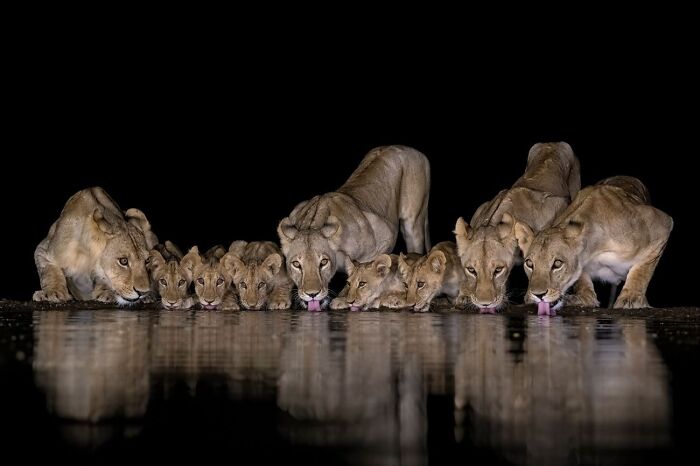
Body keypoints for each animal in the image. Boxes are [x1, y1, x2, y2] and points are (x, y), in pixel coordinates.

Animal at [278, 145, 431, 311]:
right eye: (296, 264)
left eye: (323, 262)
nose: (312, 294)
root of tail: (411, 149)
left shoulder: (379, 241)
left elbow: (361, 273)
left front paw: (344, 299)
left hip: (413, 222)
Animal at [454, 142, 580, 312]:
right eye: (471, 270)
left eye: (498, 270)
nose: (485, 303)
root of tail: (552, 143)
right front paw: (465, 295)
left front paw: (532, 297)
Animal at [514, 176, 673, 314]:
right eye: (529, 263)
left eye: (557, 264)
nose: (537, 295)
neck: (595, 249)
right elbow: (581, 278)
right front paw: (585, 297)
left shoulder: (662, 225)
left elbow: (642, 271)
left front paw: (631, 298)